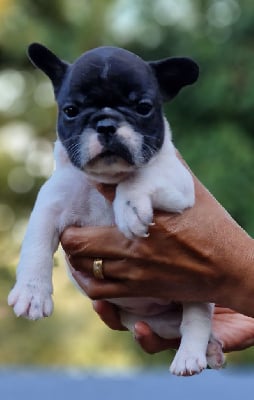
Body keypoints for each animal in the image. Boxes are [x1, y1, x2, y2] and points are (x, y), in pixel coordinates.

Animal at [7, 43, 224, 376]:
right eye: (71, 110)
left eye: (143, 107)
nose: (106, 124)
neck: (108, 178)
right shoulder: (50, 203)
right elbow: (36, 246)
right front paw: (32, 293)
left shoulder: (180, 183)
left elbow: (141, 175)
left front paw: (129, 206)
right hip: (150, 321)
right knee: (175, 327)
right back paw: (211, 348)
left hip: (197, 288)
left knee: (195, 319)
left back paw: (191, 356)